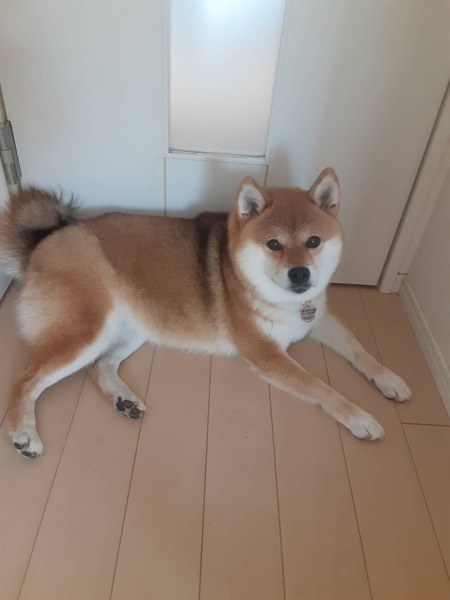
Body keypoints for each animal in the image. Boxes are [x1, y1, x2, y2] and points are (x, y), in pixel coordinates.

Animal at [0, 169, 411, 458]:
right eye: (273, 245)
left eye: (313, 242)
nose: (301, 274)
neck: (282, 300)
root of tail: (43, 244)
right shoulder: (265, 352)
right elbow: (322, 388)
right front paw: (360, 417)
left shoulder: (316, 316)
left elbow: (359, 350)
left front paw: (390, 378)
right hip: (89, 328)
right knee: (27, 379)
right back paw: (24, 434)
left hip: (132, 329)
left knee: (99, 367)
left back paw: (123, 400)